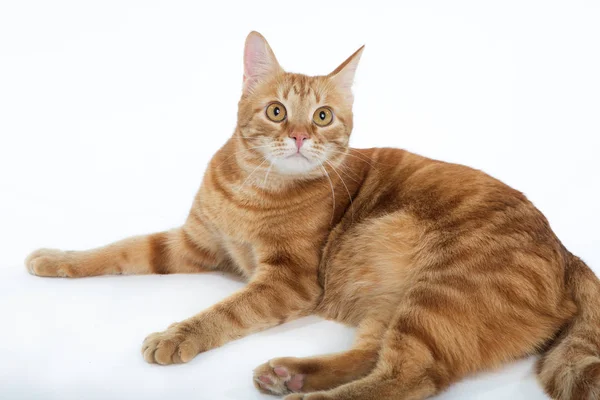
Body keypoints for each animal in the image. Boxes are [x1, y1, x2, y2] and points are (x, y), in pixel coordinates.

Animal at [27, 32, 600, 400]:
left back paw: (309, 396)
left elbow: (224, 312)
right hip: (394, 299)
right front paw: (55, 258)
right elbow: (118, 249)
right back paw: (292, 375)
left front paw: (177, 335)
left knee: (410, 376)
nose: (302, 135)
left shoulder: (288, 280)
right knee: (374, 354)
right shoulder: (192, 243)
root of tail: (568, 252)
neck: (252, 188)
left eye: (323, 116)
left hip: (438, 294)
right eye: (277, 111)